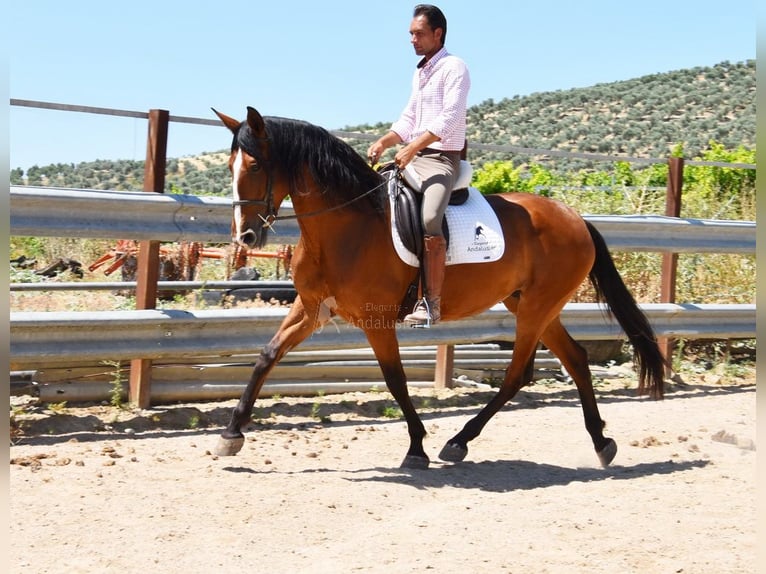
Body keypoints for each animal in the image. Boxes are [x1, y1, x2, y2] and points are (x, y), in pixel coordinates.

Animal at [212, 106, 664, 470]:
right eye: (229, 166)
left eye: (254, 166)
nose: (244, 237)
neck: (347, 226)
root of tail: (575, 217)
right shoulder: (310, 309)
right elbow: (266, 356)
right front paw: (231, 435)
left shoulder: (376, 322)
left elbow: (395, 380)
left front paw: (416, 449)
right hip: (530, 305)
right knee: (575, 358)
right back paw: (601, 442)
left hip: (537, 307)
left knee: (518, 373)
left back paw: (459, 441)